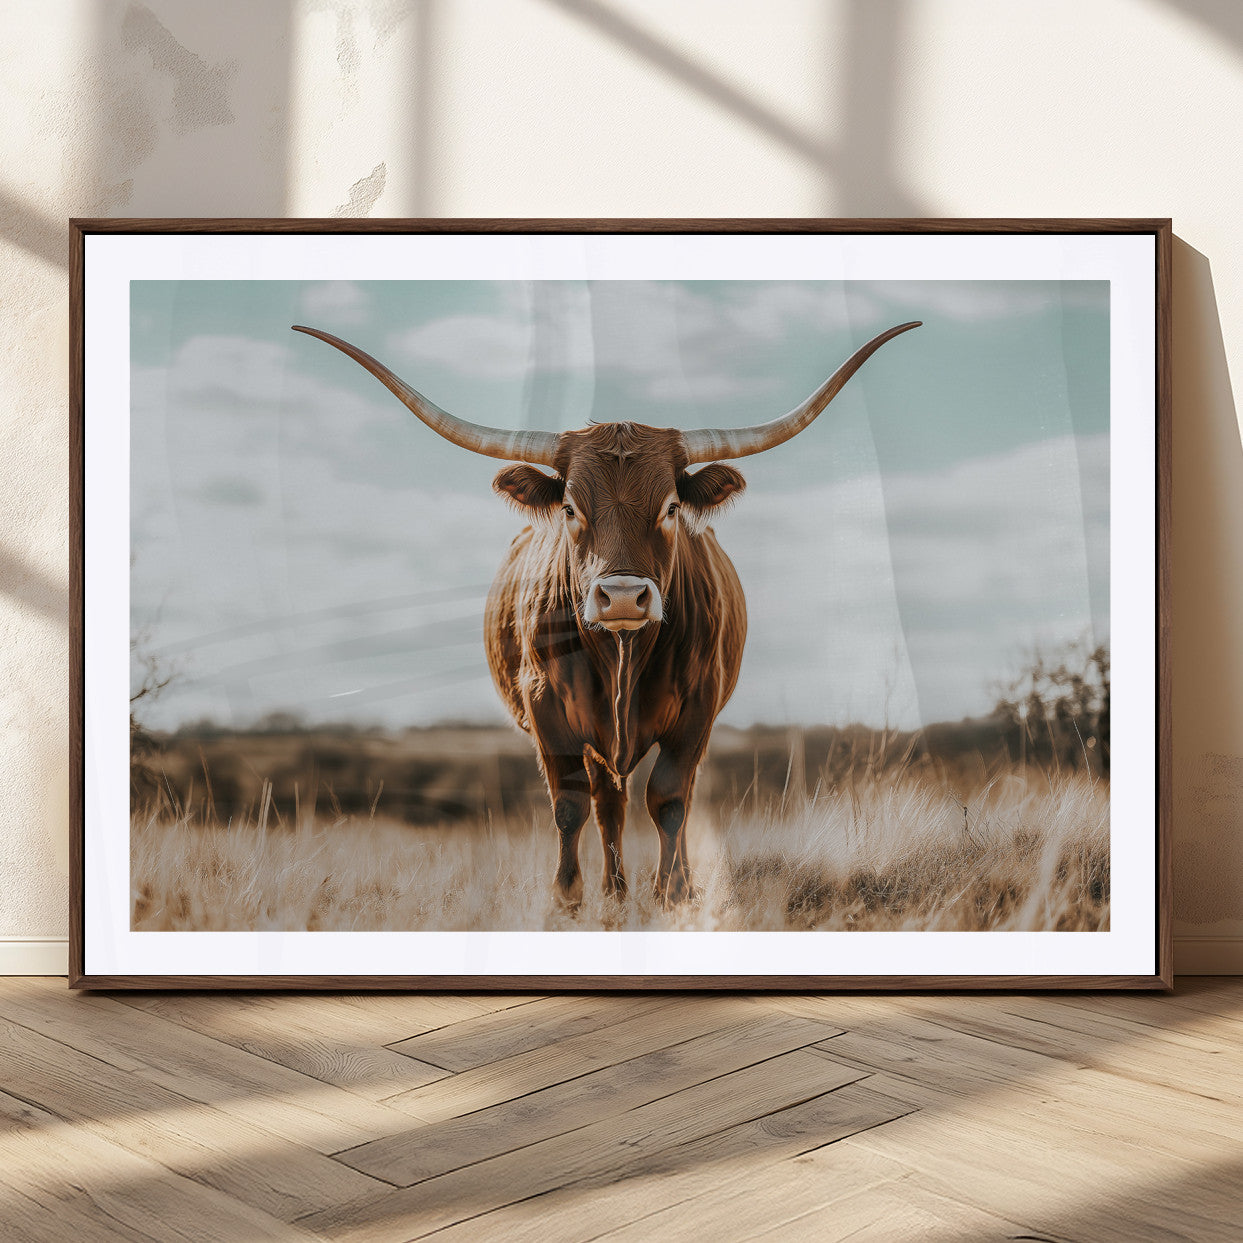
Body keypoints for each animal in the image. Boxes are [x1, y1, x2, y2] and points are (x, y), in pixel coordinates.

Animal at [292, 319, 920, 908]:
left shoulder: (698, 709)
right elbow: (572, 804)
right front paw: (569, 897)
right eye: (571, 507)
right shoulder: (546, 706)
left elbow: (669, 799)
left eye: (671, 507)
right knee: (607, 803)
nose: (620, 597)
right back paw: (613, 891)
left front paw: (672, 892)